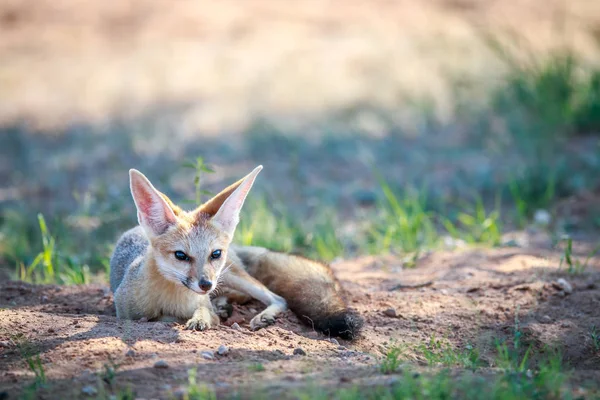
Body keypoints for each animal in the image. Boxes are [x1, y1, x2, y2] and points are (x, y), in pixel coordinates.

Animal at [108, 164, 364, 340]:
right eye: (181, 255)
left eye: (215, 254)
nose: (205, 285)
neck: (174, 299)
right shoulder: (125, 313)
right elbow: (158, 317)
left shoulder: (205, 297)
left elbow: (204, 312)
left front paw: (201, 318)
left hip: (232, 276)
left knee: (277, 298)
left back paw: (259, 315)